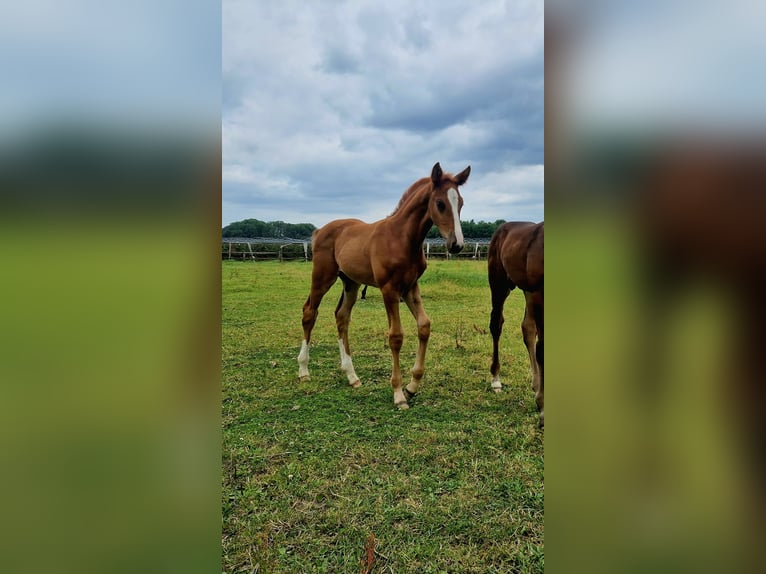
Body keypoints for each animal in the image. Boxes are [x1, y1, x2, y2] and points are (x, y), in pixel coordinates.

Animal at [298, 162, 471, 409]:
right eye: (440, 203)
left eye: (461, 203)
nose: (456, 244)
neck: (402, 238)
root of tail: (319, 230)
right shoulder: (389, 289)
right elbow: (396, 336)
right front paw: (398, 393)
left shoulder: (410, 287)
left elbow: (424, 326)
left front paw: (412, 386)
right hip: (322, 277)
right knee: (309, 312)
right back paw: (303, 370)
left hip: (350, 282)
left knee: (341, 316)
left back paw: (352, 376)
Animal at [487, 221, 544, 426]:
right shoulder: (540, 294)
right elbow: (542, 349)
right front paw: (543, 408)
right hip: (500, 284)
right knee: (496, 324)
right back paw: (496, 378)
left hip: (528, 291)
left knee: (527, 328)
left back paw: (536, 385)